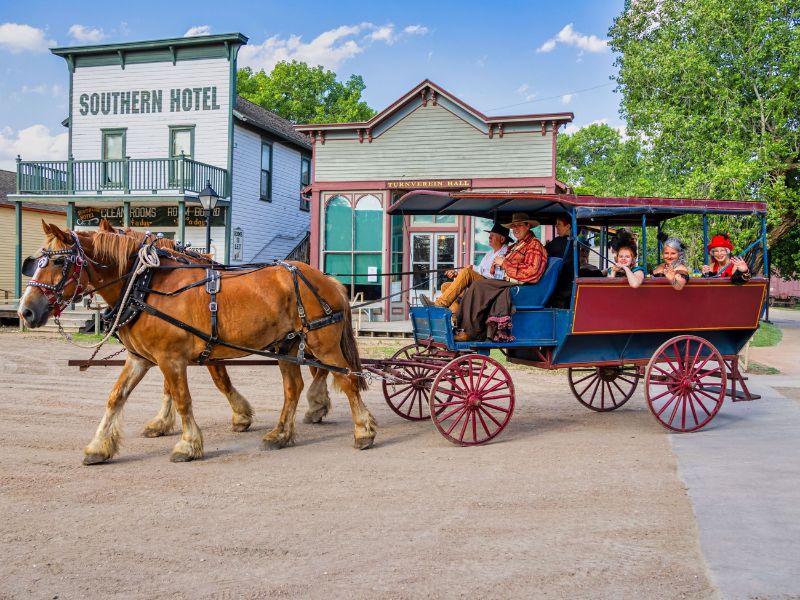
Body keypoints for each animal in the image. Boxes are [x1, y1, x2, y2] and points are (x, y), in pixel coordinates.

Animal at [18, 223, 376, 462]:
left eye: (59, 262)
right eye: (36, 261)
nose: (26, 311)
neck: (145, 283)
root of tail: (328, 280)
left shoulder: (172, 358)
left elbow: (184, 398)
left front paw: (188, 444)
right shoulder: (141, 357)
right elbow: (116, 397)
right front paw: (99, 446)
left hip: (322, 344)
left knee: (346, 379)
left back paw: (363, 430)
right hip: (287, 346)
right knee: (294, 388)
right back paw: (280, 434)